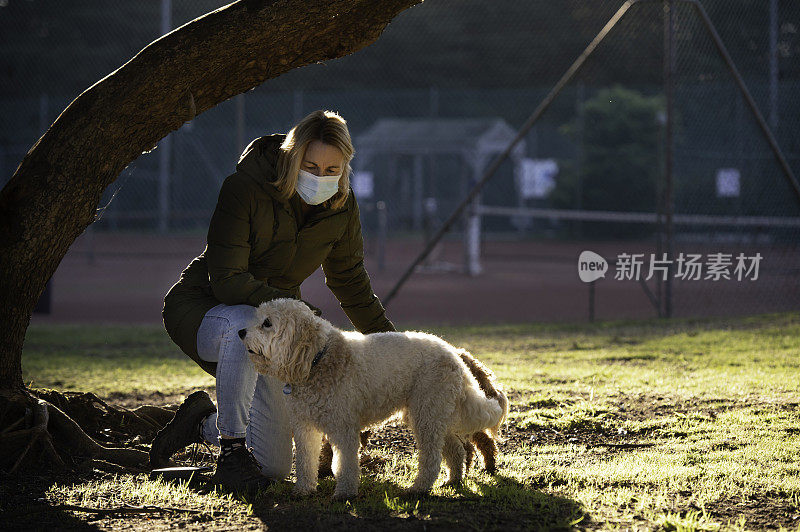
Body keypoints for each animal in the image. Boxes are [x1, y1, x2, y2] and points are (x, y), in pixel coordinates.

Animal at [241, 302, 510, 500]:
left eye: (267, 323)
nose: (241, 332)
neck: (318, 360)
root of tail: (454, 354)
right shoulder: (305, 427)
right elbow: (306, 462)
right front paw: (304, 489)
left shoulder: (343, 429)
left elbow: (346, 464)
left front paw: (345, 493)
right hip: (431, 414)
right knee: (455, 449)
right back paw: (453, 480)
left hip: (427, 413)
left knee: (433, 458)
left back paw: (419, 488)